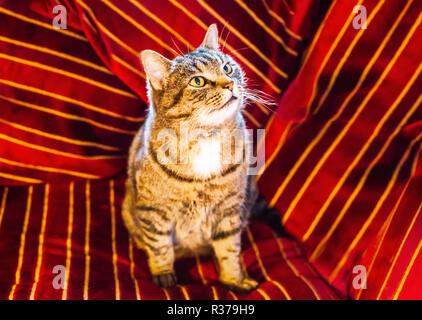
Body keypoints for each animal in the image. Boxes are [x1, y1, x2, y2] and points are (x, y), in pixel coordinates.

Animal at [122, 24, 258, 292]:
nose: (229, 83)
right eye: (198, 81)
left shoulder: (229, 210)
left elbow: (229, 249)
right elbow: (160, 246)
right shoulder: (153, 211)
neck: (206, 136)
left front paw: (234, 280)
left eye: (227, 68)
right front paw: (163, 274)